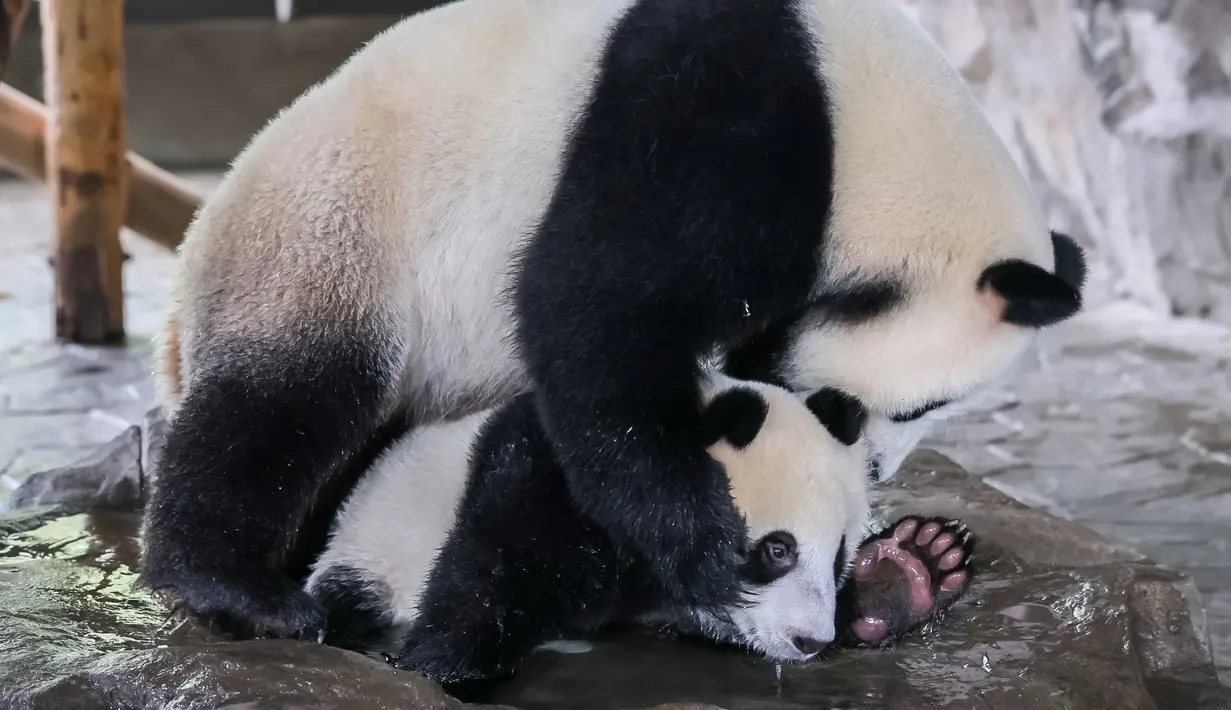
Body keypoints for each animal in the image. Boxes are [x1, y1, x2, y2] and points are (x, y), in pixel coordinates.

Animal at [141, 0, 1084, 639]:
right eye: (911, 407)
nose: (876, 471)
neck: (867, 126)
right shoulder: (717, 113)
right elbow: (593, 317)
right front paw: (705, 531)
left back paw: (905, 576)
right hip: (330, 245)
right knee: (283, 407)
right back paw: (233, 585)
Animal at [303, 374, 977, 684]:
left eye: (837, 558)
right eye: (777, 549)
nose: (810, 641)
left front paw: (906, 571)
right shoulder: (554, 479)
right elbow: (494, 569)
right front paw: (439, 666)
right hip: (373, 548)